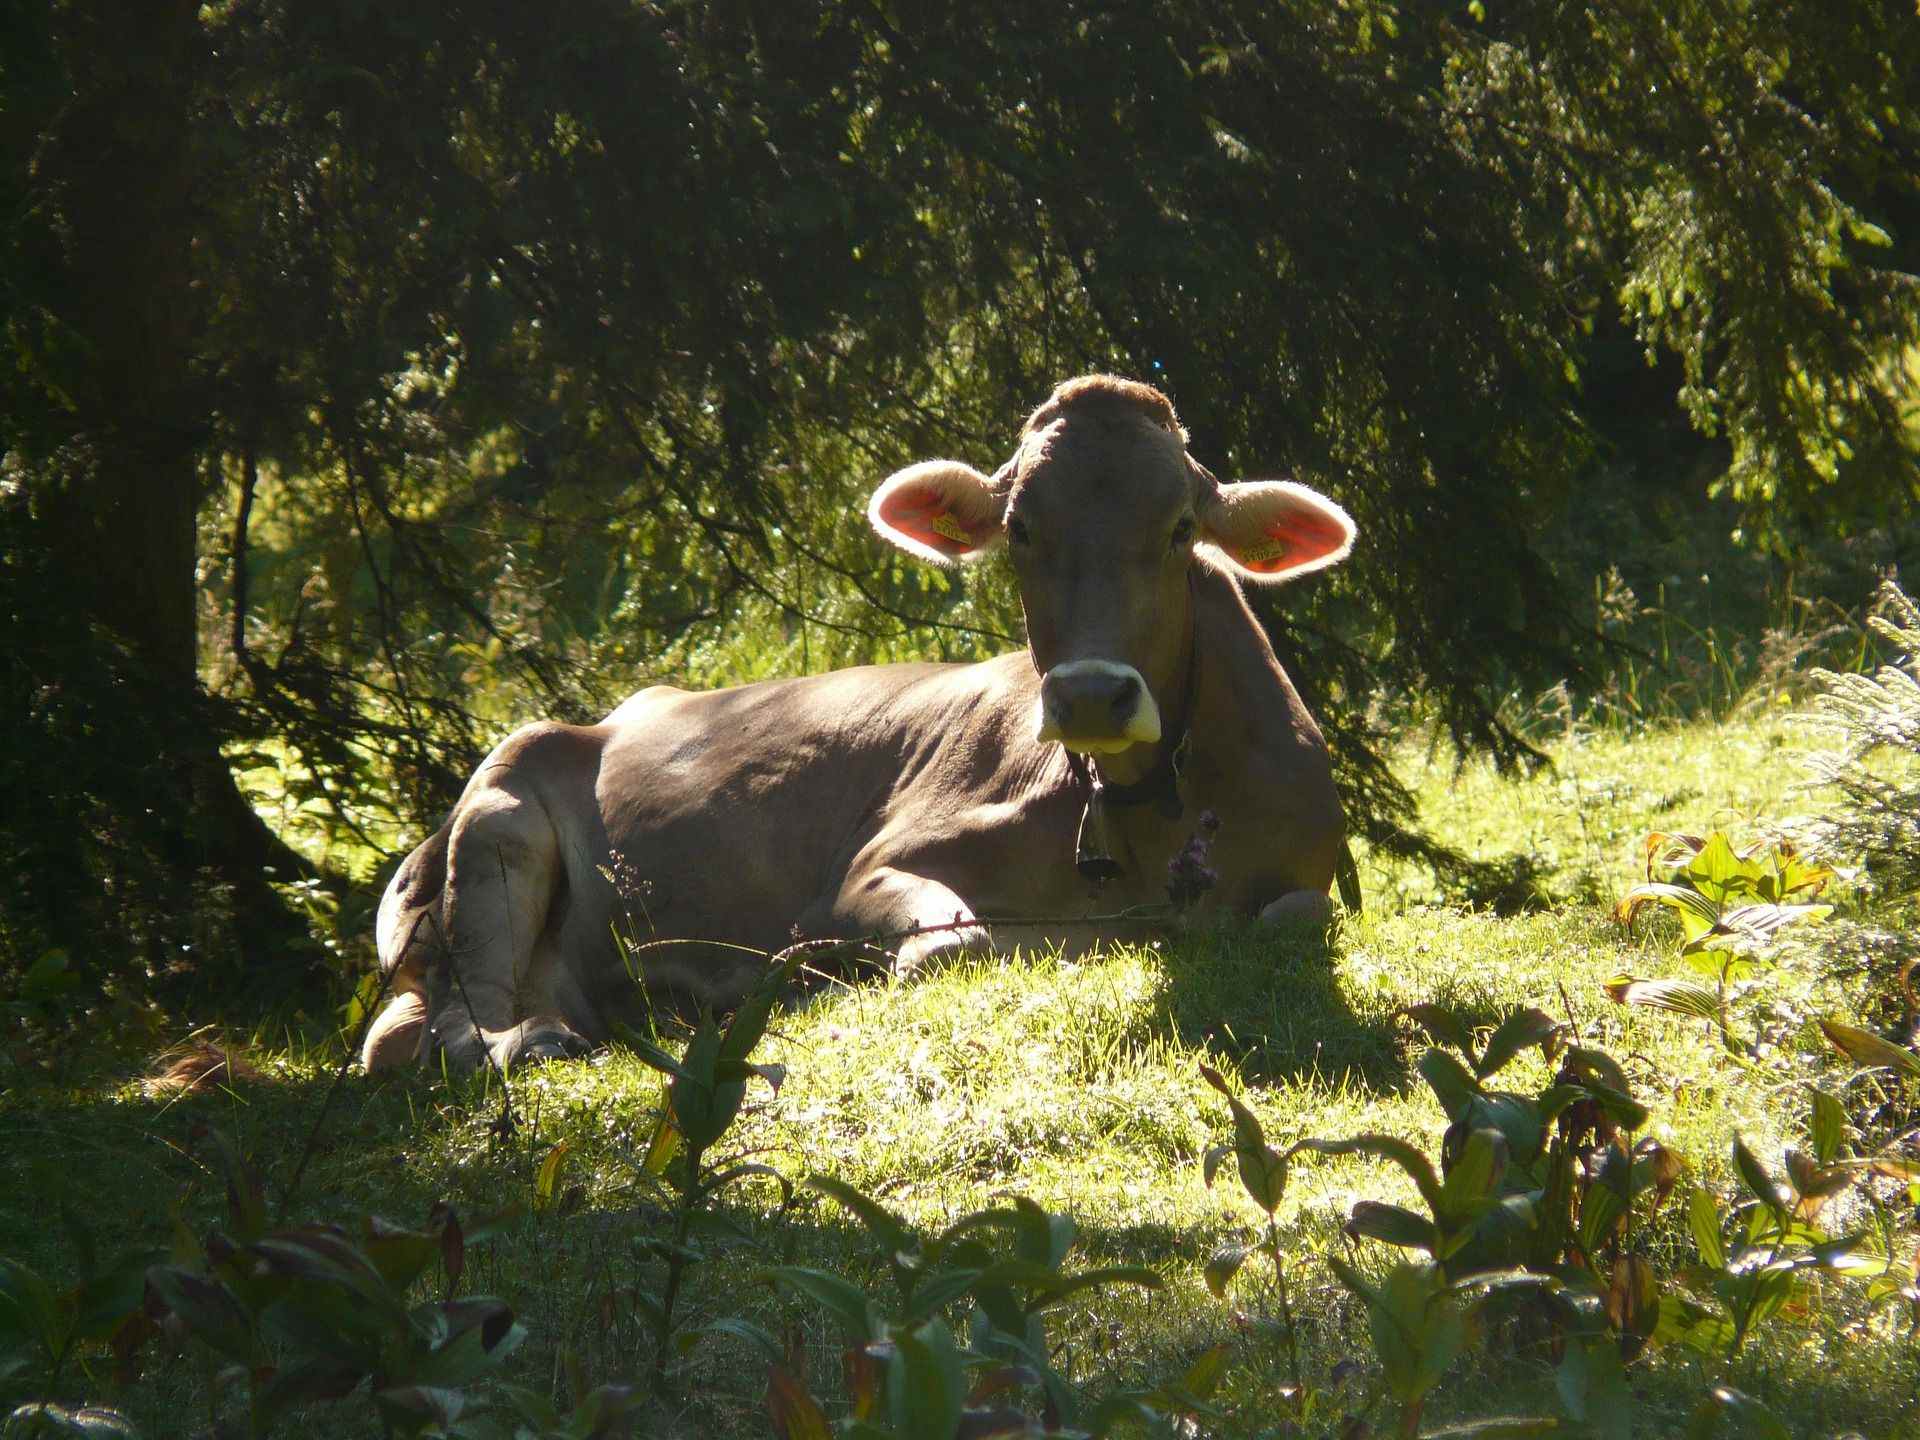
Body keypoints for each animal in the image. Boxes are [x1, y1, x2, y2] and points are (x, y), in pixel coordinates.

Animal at [361, 375, 1354, 1073]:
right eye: (1022, 529)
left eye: (1182, 526)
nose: (1090, 696)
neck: (1145, 822)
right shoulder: (860, 876)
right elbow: (957, 943)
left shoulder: (1309, 876)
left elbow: (1289, 915)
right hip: (498, 815)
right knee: (443, 1028)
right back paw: (539, 1036)